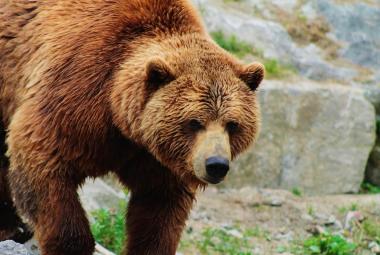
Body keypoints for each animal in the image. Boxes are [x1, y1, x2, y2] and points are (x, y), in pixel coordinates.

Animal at [0, 0, 262, 255]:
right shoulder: (75, 96)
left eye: (232, 124)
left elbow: (158, 209)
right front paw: (72, 244)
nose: (216, 164)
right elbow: (43, 162)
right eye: (194, 122)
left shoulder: (157, 157)